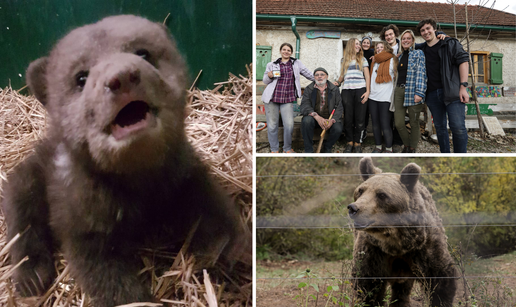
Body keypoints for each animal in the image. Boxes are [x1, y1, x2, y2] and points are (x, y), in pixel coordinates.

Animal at [2, 15, 245, 307]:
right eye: (81, 78)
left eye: (143, 53)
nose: (121, 77)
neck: (138, 182)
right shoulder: (83, 219)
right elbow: (109, 279)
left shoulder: (184, 173)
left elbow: (210, 204)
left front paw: (229, 247)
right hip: (29, 180)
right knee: (21, 214)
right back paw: (31, 275)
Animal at [348, 159, 458, 307]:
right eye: (360, 191)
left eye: (381, 194)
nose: (353, 208)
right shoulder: (373, 250)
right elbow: (367, 285)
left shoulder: (425, 247)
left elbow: (441, 280)